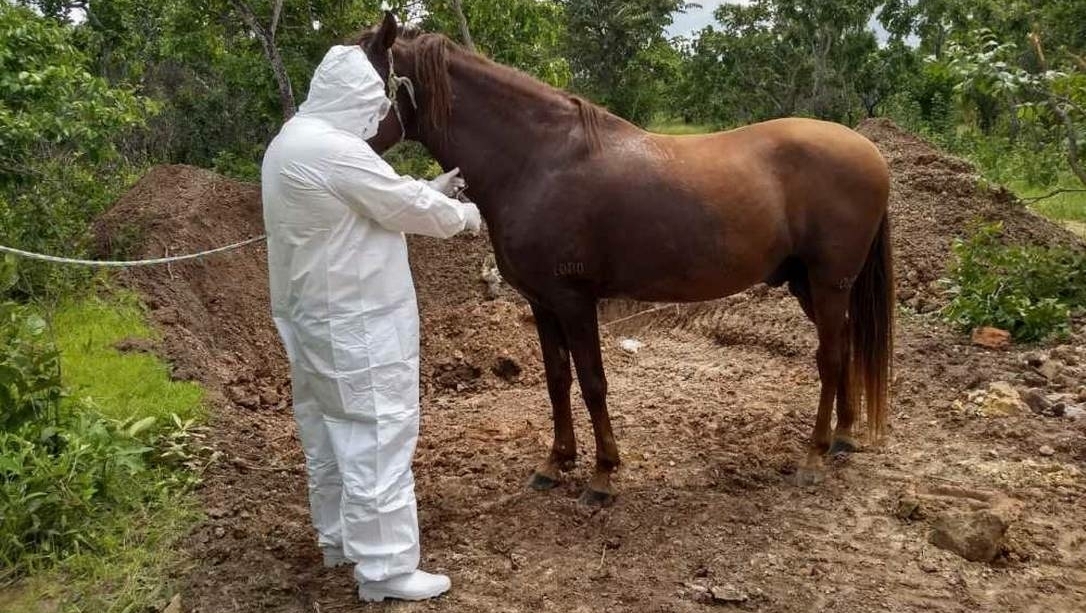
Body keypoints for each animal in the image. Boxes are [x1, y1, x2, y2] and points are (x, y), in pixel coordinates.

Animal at [356, 14, 890, 508]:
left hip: (829, 282)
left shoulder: (574, 301)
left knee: (829, 356)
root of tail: (869, 151)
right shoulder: (541, 303)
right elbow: (557, 380)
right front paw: (555, 463)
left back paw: (814, 456)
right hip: (808, 285)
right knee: (843, 346)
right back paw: (842, 438)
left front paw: (602, 476)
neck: (537, 162)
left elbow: (593, 382)